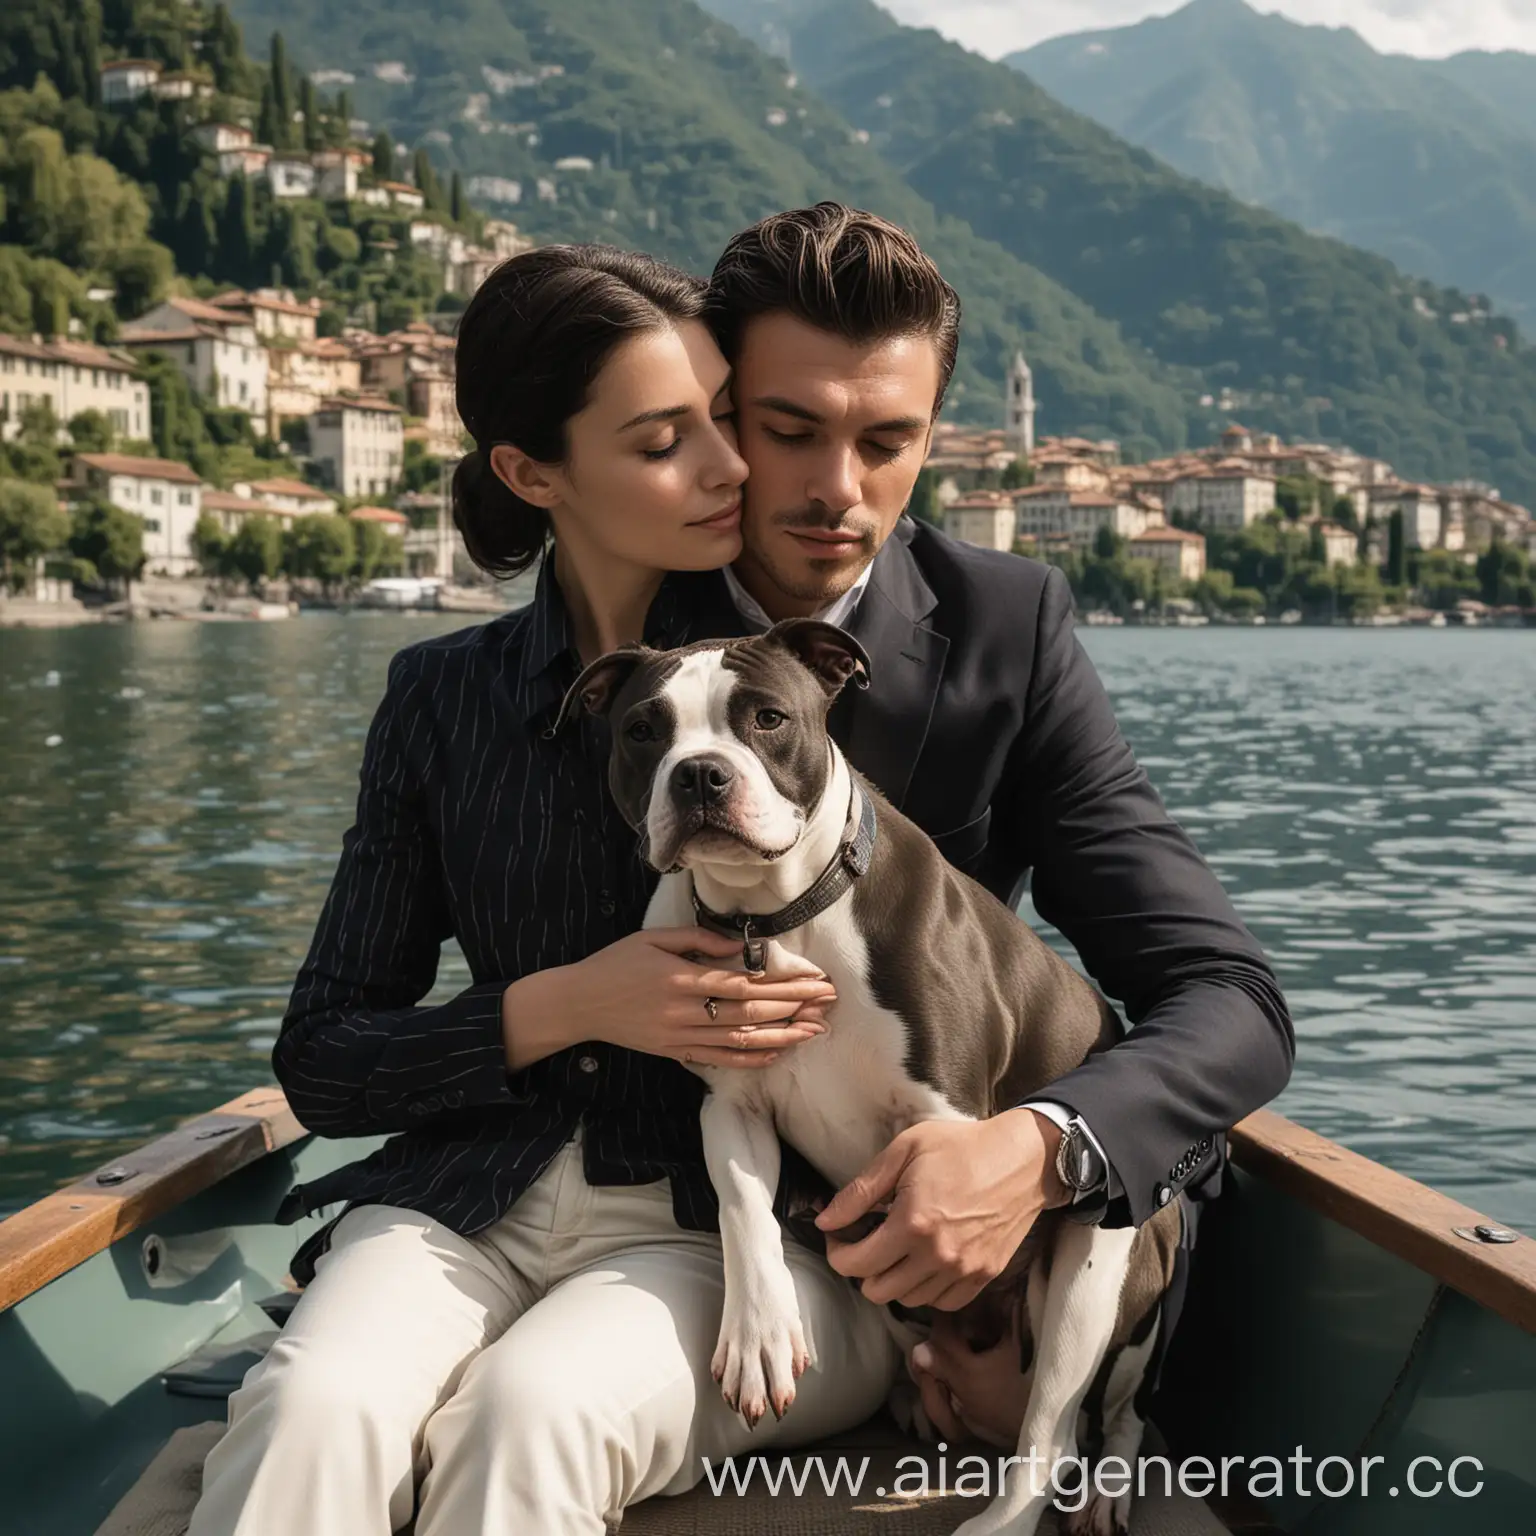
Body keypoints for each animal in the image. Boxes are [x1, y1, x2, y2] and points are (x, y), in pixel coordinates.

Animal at [559, 617, 1179, 1529]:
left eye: (768, 718)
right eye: (644, 730)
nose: (700, 773)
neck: (771, 916)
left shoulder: (947, 1126)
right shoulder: (732, 1109)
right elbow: (745, 1215)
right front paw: (760, 1336)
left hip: (1101, 1273)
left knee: (1082, 1423)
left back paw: (1064, 1498)